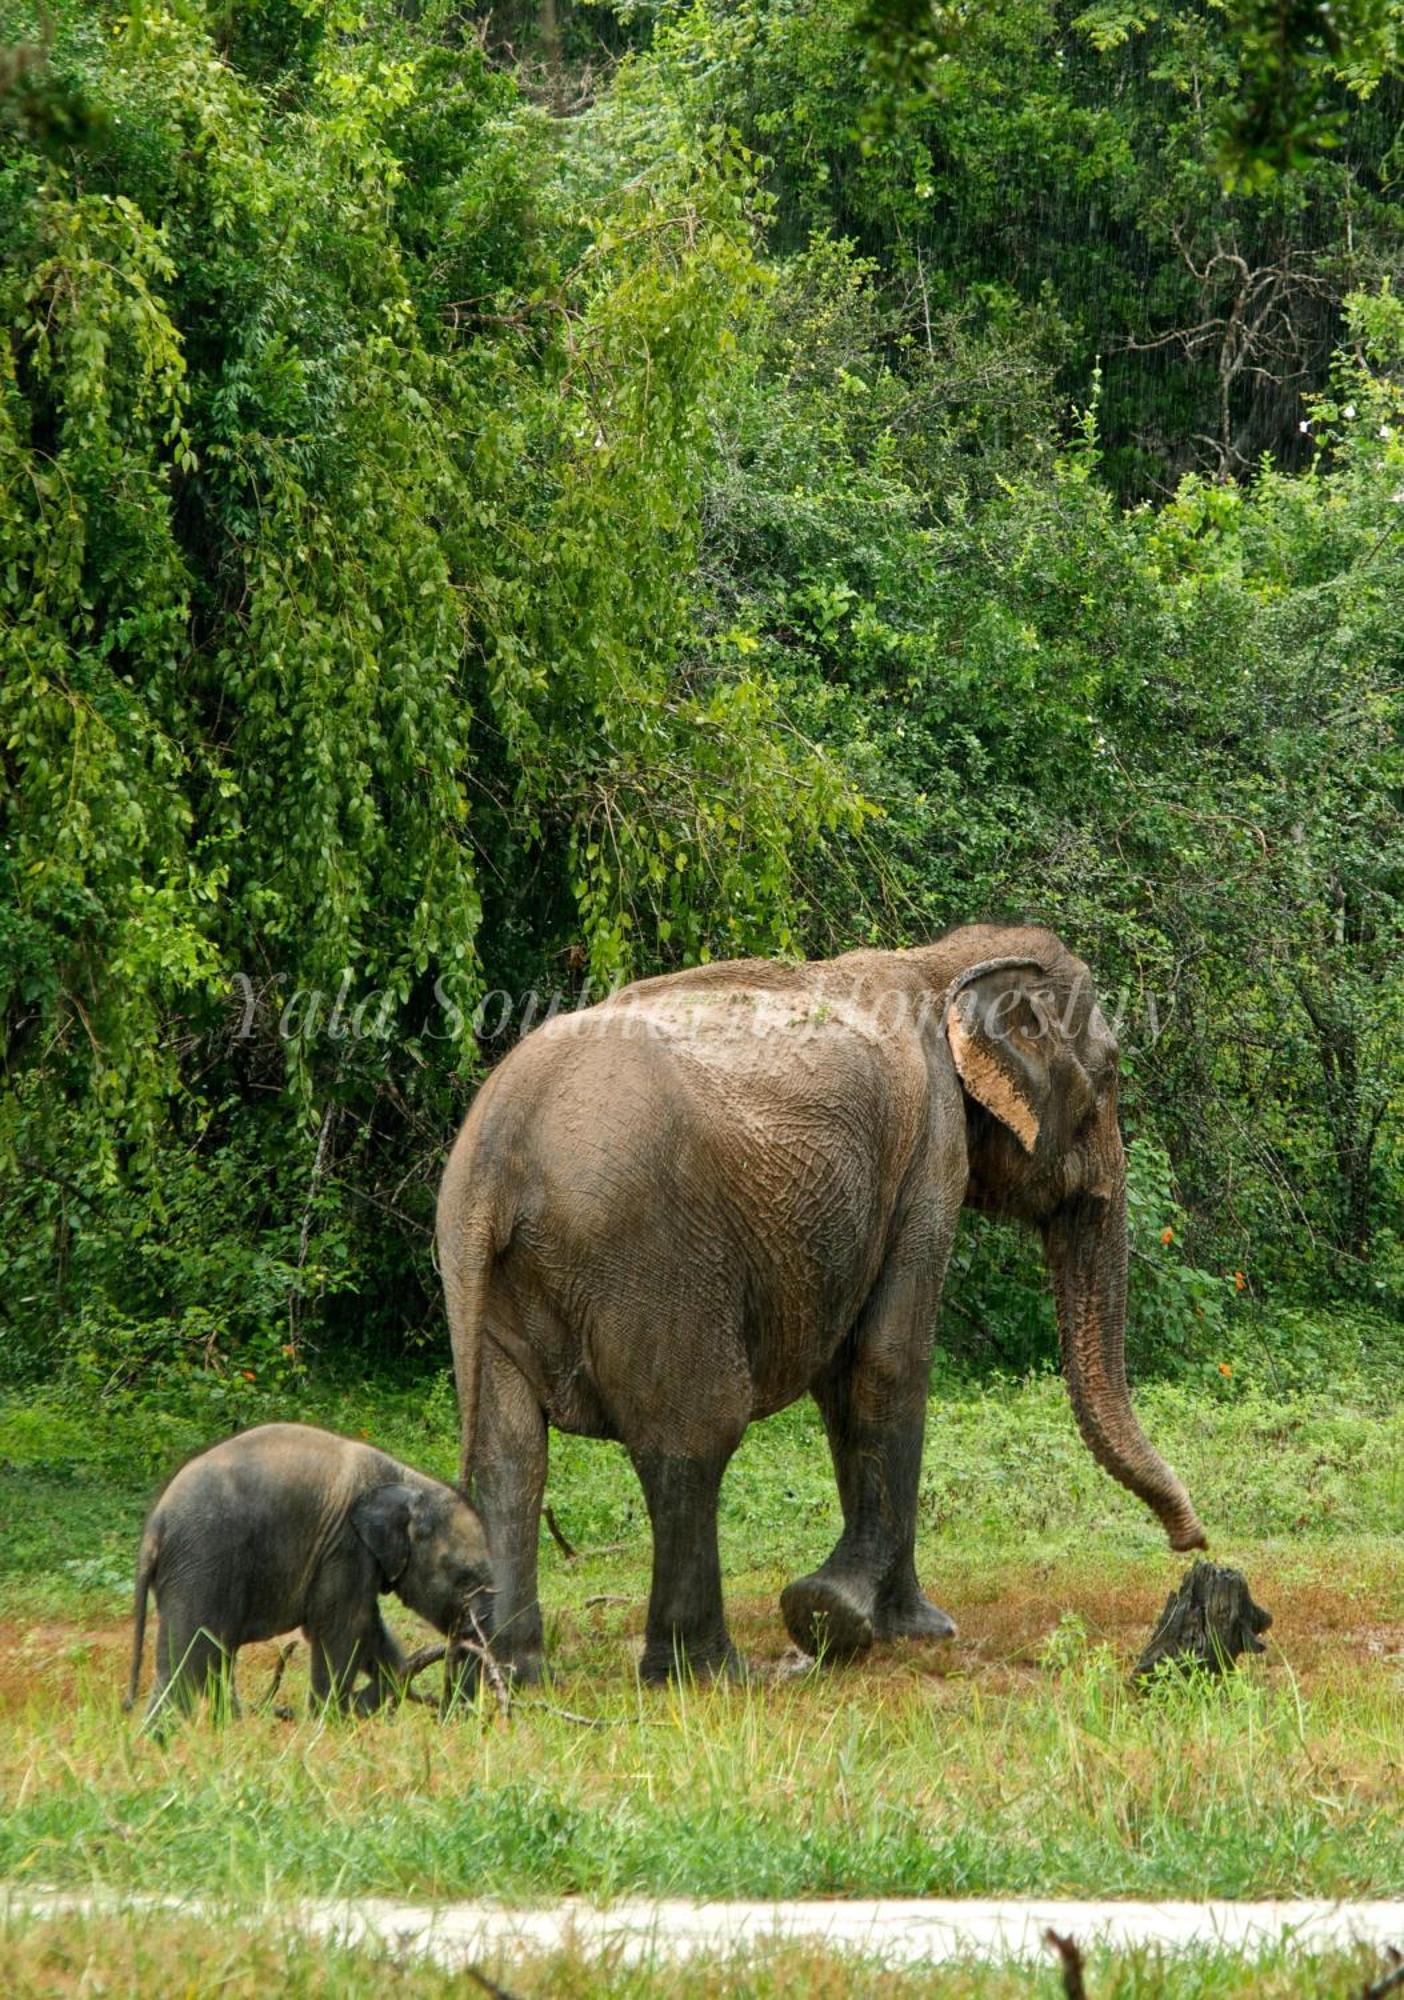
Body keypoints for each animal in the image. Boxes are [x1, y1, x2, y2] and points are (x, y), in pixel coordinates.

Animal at [126, 1424, 498, 1720]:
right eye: (464, 1578)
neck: (406, 1478)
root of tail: (154, 1525)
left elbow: (366, 1628)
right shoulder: (345, 1547)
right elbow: (341, 1628)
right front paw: (330, 1722)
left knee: (214, 1657)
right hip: (200, 1562)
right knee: (187, 1662)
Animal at [440, 928, 1208, 1680]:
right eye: (1109, 1076)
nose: (1193, 1542)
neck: (945, 959)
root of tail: (496, 1150)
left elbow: (844, 1380)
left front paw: (895, 1625)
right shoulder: (930, 1152)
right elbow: (888, 1357)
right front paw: (840, 1616)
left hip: (489, 1274)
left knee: (511, 1457)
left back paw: (506, 1681)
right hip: (650, 1258)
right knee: (693, 1437)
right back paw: (712, 1674)